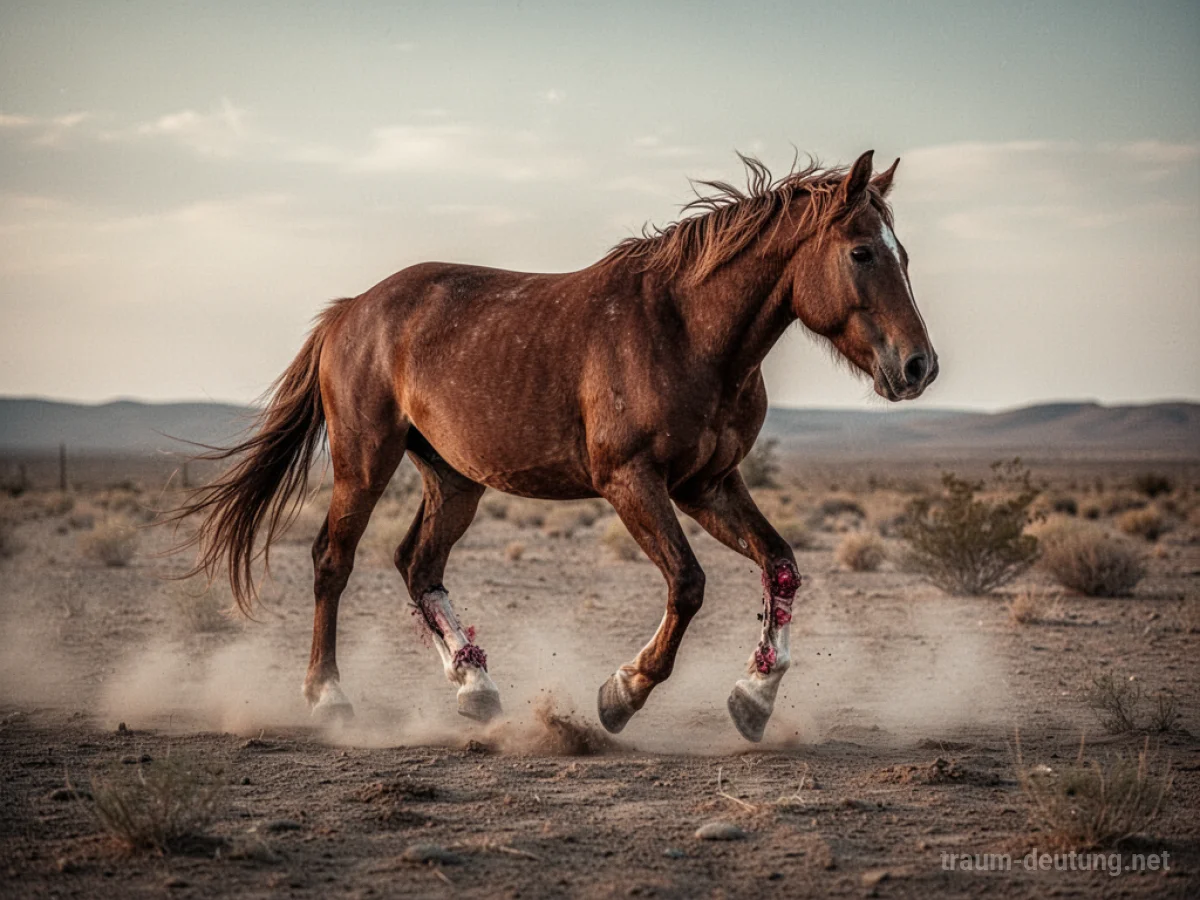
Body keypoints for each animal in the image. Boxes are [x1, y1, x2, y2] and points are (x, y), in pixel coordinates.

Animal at [177, 149, 937, 743]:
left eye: (904, 254)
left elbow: (780, 567)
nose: (918, 367)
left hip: (454, 479)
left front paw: (753, 698)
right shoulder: (632, 482)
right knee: (333, 563)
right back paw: (330, 698)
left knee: (417, 564)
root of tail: (349, 312)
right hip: (365, 465)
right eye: (862, 252)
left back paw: (476, 688)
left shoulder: (709, 484)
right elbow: (688, 585)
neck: (689, 331)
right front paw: (623, 692)